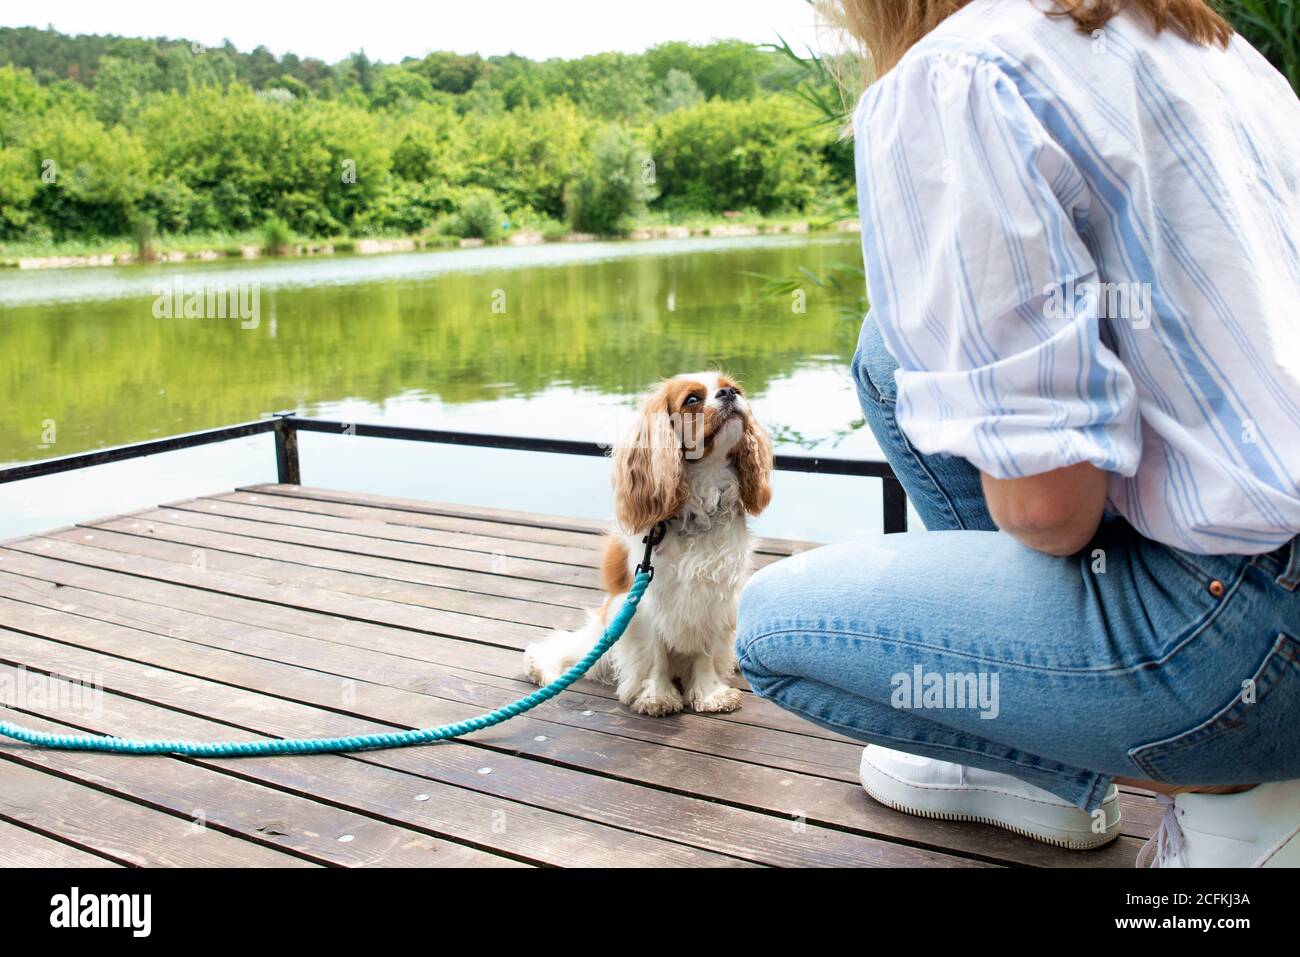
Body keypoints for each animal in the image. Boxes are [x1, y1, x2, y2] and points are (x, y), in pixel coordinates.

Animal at [522, 369, 769, 712]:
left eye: (734, 388)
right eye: (692, 399)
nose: (730, 394)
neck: (703, 485)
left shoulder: (714, 595)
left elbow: (705, 651)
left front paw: (710, 694)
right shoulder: (644, 601)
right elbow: (654, 653)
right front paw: (657, 696)